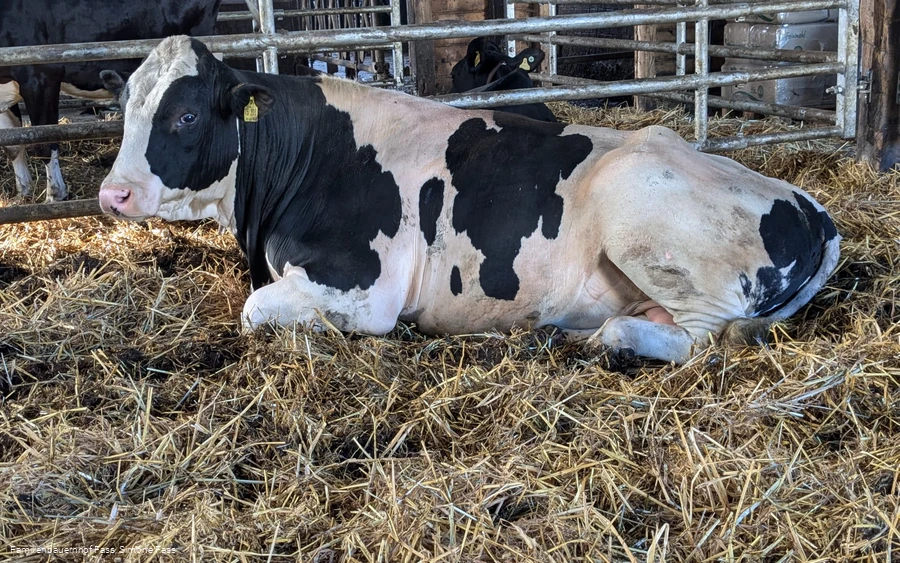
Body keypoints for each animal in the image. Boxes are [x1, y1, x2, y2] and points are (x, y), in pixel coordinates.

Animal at [98, 36, 840, 364]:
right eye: (124, 106)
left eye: (186, 115)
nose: (113, 192)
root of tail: (809, 203)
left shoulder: (365, 289)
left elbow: (255, 311)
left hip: (643, 221)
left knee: (702, 340)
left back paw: (600, 337)